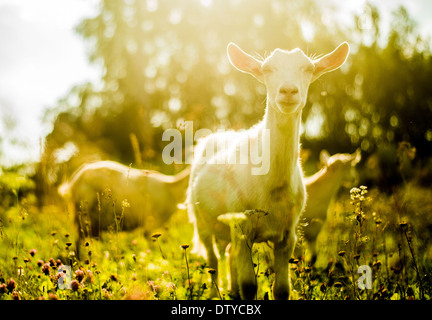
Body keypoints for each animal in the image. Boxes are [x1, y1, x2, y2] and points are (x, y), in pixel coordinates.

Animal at [187, 41, 350, 298]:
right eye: (266, 69)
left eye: (308, 68)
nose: (288, 91)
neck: (273, 186)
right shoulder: (242, 228)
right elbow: (249, 285)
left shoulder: (288, 236)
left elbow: (282, 289)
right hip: (201, 221)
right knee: (213, 259)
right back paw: (215, 292)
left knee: (229, 256)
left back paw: (231, 291)